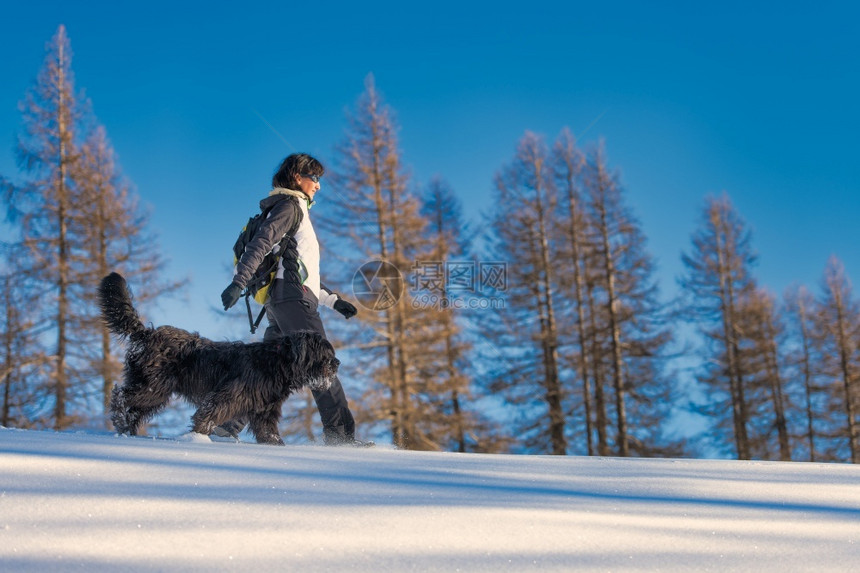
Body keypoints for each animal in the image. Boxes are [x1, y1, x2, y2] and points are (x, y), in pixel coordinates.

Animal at [99, 270, 338, 444]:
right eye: (324, 354)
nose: (337, 363)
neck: (277, 363)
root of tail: (147, 333)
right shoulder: (227, 397)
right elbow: (208, 414)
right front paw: (198, 436)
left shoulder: (265, 411)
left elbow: (268, 432)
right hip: (153, 386)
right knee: (121, 396)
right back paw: (120, 419)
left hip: (154, 391)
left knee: (134, 409)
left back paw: (126, 429)